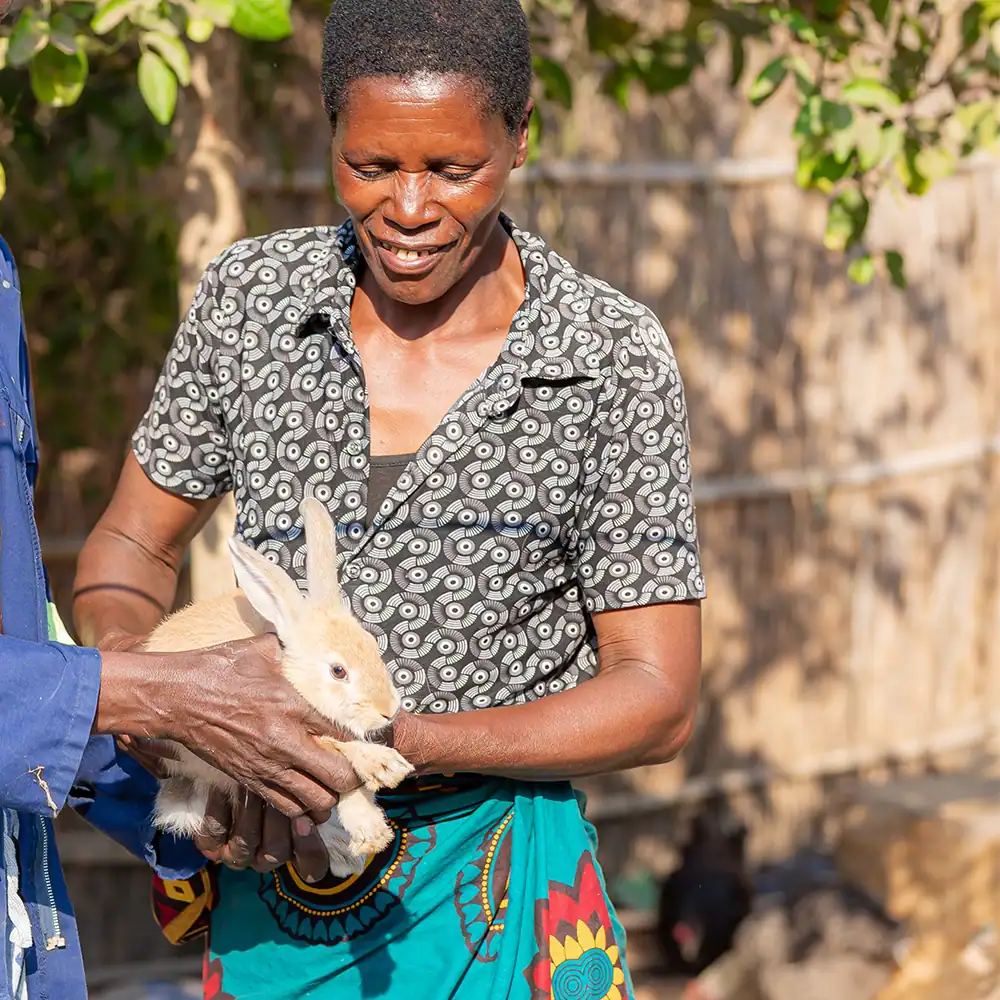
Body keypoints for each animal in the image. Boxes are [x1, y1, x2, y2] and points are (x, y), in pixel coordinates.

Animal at [140, 496, 414, 879]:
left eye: (374, 648)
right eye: (338, 671)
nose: (389, 711)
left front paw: (372, 831)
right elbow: (337, 747)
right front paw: (385, 766)